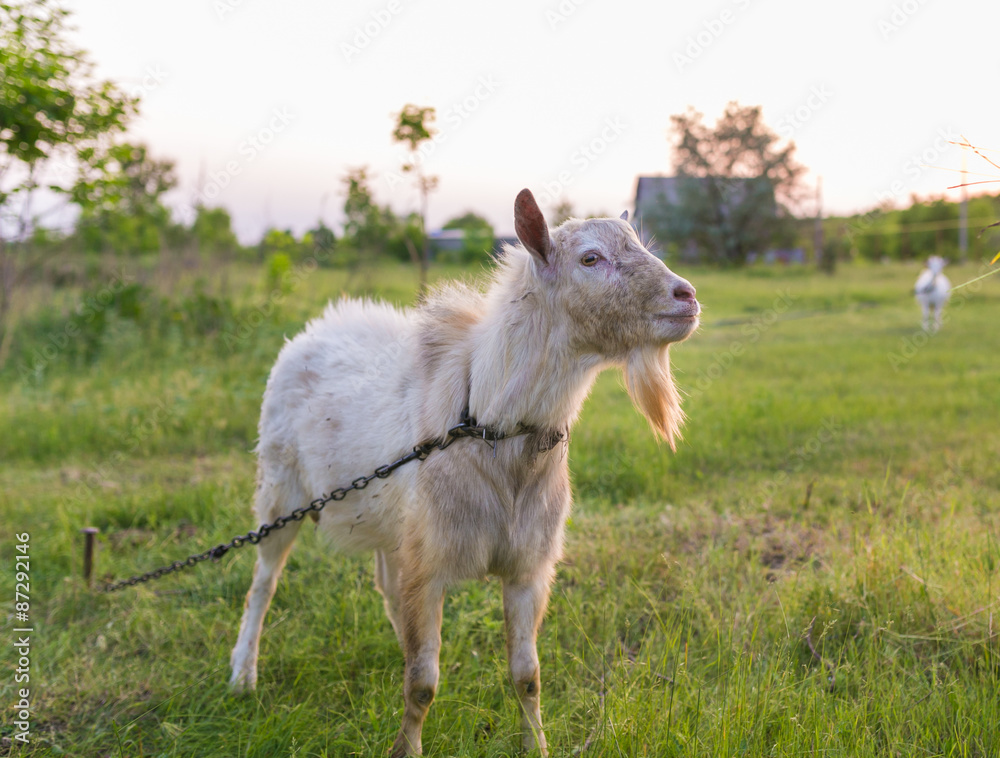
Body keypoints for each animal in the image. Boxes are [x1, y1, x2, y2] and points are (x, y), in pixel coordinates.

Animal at [228, 188, 700, 756]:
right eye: (591, 258)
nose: (687, 297)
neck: (487, 424)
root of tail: (313, 330)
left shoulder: (525, 566)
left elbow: (527, 676)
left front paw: (536, 745)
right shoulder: (432, 563)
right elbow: (423, 684)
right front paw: (406, 748)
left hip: (392, 521)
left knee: (388, 584)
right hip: (282, 489)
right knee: (263, 582)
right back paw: (243, 674)